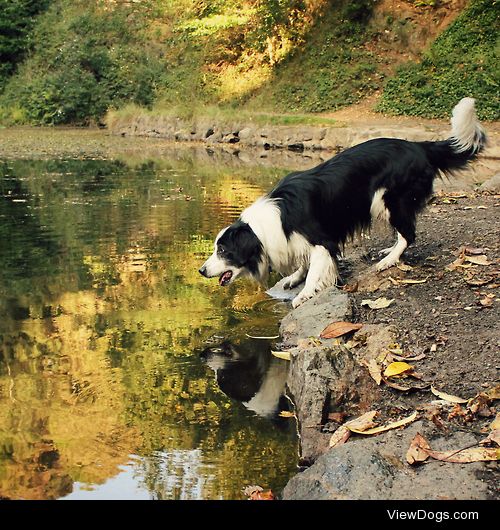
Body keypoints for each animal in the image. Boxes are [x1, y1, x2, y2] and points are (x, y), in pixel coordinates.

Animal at [198, 97, 484, 308]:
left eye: (223, 250)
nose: (201, 270)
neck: (264, 228)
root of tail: (419, 146)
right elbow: (304, 261)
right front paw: (295, 277)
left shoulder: (322, 239)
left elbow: (317, 268)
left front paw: (305, 293)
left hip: (387, 200)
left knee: (409, 234)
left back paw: (389, 260)